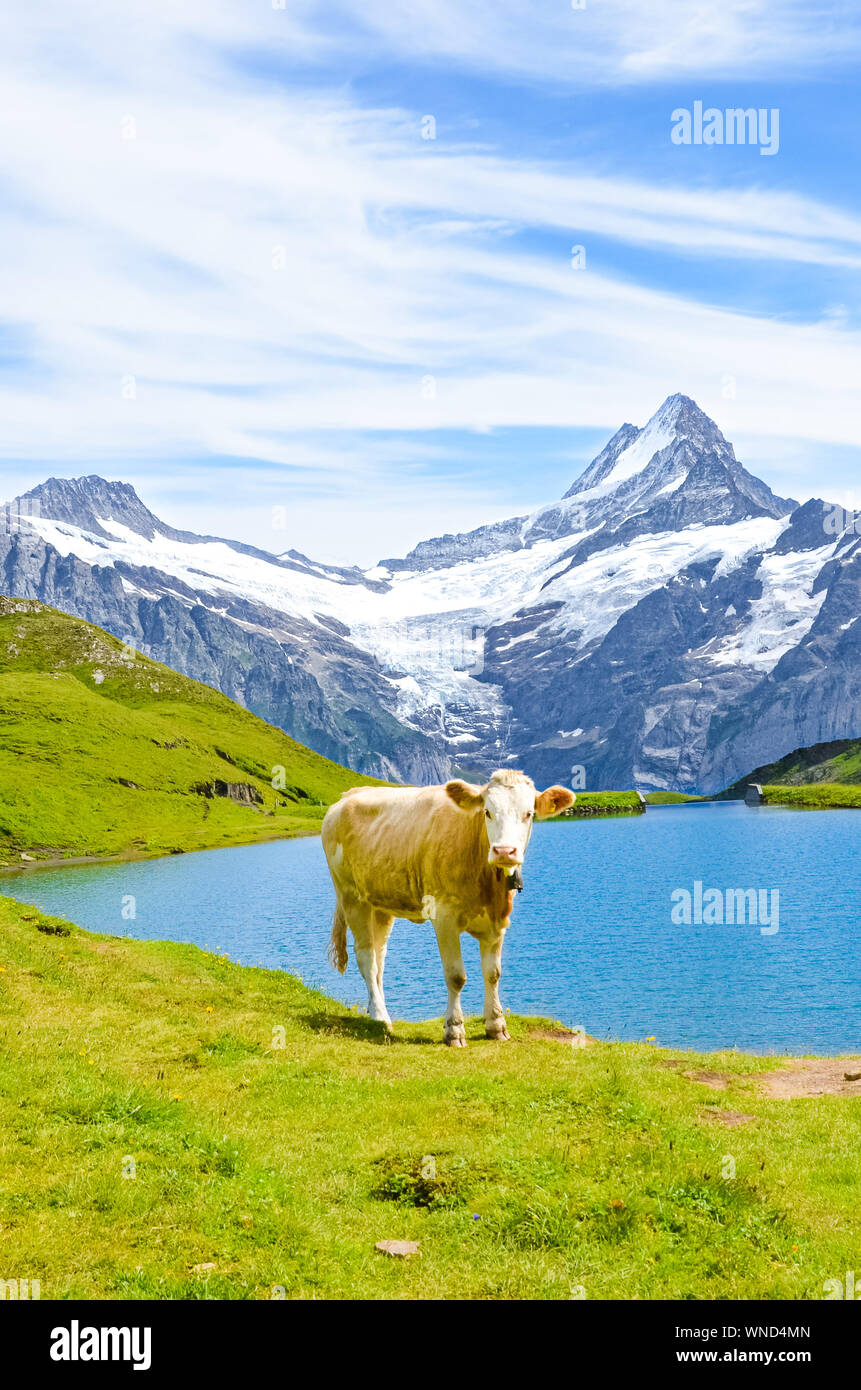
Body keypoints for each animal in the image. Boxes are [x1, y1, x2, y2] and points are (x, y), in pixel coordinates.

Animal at [319, 772, 575, 1045]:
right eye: (487, 812)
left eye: (528, 813)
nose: (504, 851)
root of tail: (346, 797)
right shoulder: (444, 917)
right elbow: (456, 976)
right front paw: (454, 1029)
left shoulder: (497, 922)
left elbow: (493, 973)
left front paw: (496, 1026)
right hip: (350, 895)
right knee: (366, 955)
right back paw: (380, 1017)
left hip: (381, 902)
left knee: (379, 955)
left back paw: (377, 1008)